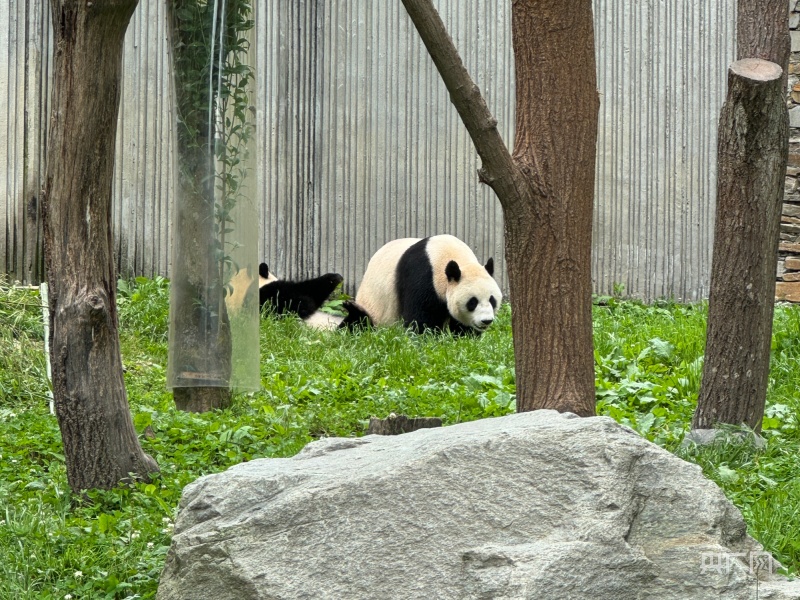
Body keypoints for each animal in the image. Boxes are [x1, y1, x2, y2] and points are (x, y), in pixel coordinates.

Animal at [344, 234, 500, 336]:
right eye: (472, 302)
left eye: (492, 300)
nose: (486, 321)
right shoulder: (422, 275)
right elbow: (420, 317)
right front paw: (426, 337)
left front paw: (466, 336)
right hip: (373, 309)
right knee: (359, 320)